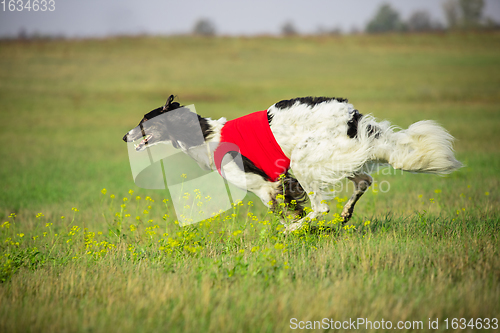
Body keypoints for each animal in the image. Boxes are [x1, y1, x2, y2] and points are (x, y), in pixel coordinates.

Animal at [122, 94, 460, 232]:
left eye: (143, 122)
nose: (125, 136)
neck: (207, 136)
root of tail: (353, 116)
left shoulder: (264, 187)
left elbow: (281, 212)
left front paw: (290, 227)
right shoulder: (283, 181)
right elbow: (290, 204)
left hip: (306, 159)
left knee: (322, 207)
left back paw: (297, 229)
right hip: (336, 158)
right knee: (363, 181)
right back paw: (345, 214)